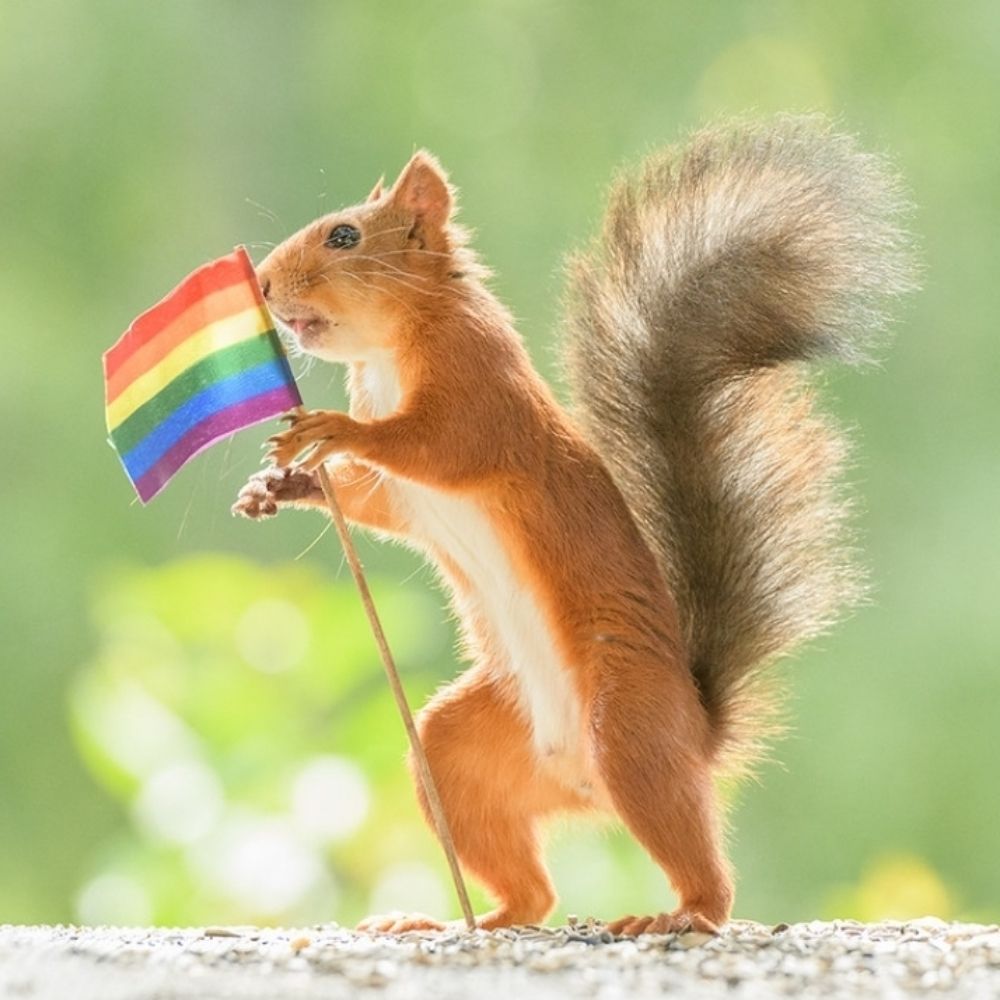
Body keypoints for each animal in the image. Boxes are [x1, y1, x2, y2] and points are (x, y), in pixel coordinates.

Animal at [233, 115, 914, 935]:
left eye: (344, 236)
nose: (264, 284)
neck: (391, 349)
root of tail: (696, 734)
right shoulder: (406, 496)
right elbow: (377, 503)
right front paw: (281, 483)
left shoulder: (483, 396)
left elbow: (435, 445)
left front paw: (331, 430)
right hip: (459, 752)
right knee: (532, 893)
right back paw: (460, 920)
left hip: (627, 727)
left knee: (697, 863)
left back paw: (683, 913)